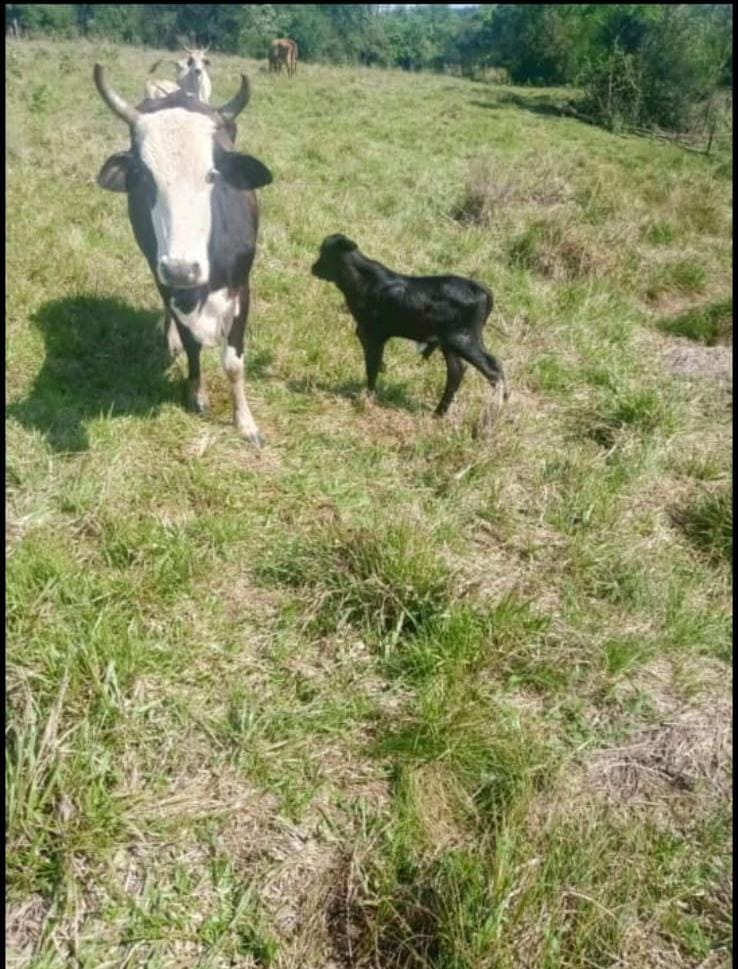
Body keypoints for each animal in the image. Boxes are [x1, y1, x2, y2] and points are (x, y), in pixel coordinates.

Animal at [93, 65, 273, 447]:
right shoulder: (165, 281)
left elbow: (234, 362)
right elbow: (192, 345)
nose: (181, 269)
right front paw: (195, 392)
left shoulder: (243, 289)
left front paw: (245, 422)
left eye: (211, 175)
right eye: (144, 176)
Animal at [311, 235, 508, 417]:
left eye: (325, 253)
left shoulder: (375, 334)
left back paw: (494, 411)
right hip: (450, 341)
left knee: (493, 368)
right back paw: (438, 413)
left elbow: (372, 366)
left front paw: (367, 398)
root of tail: (482, 289)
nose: (313, 268)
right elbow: (373, 363)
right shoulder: (365, 333)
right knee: (457, 370)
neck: (364, 282)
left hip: (463, 338)